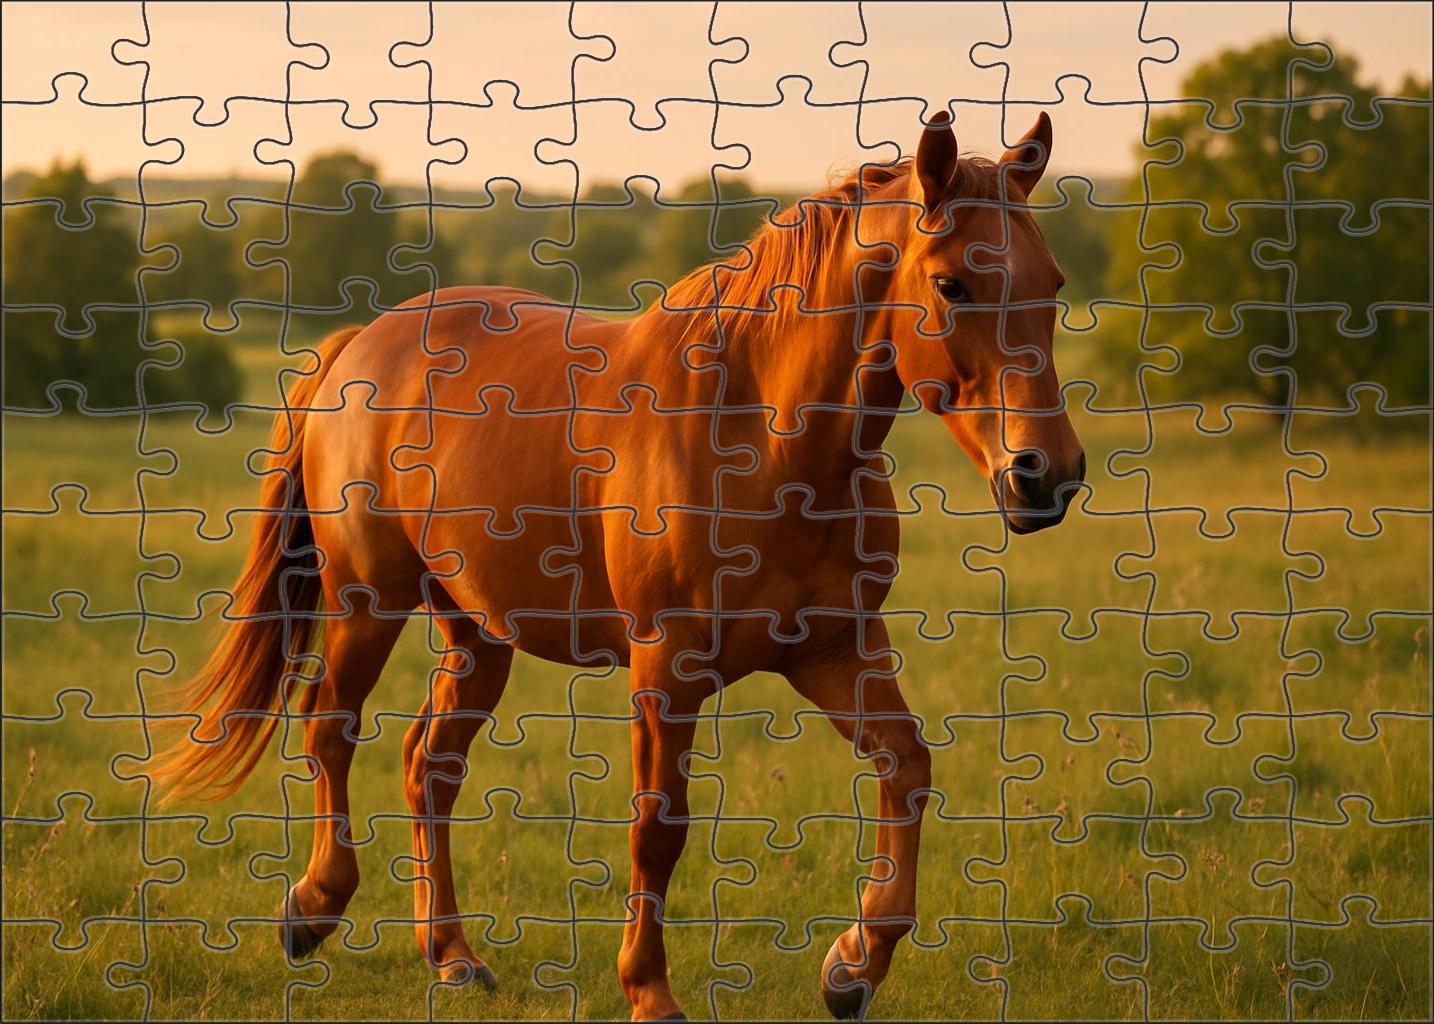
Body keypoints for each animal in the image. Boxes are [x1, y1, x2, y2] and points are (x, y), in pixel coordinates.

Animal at [154, 111, 1084, 1020]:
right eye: (953, 285)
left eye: (1053, 284)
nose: (1047, 475)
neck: (761, 439)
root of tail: (360, 343)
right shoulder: (665, 670)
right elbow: (658, 826)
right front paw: (650, 990)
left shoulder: (834, 649)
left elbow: (908, 765)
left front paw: (852, 965)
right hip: (365, 604)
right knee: (330, 729)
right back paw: (312, 908)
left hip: (477, 634)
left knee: (429, 764)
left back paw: (452, 956)